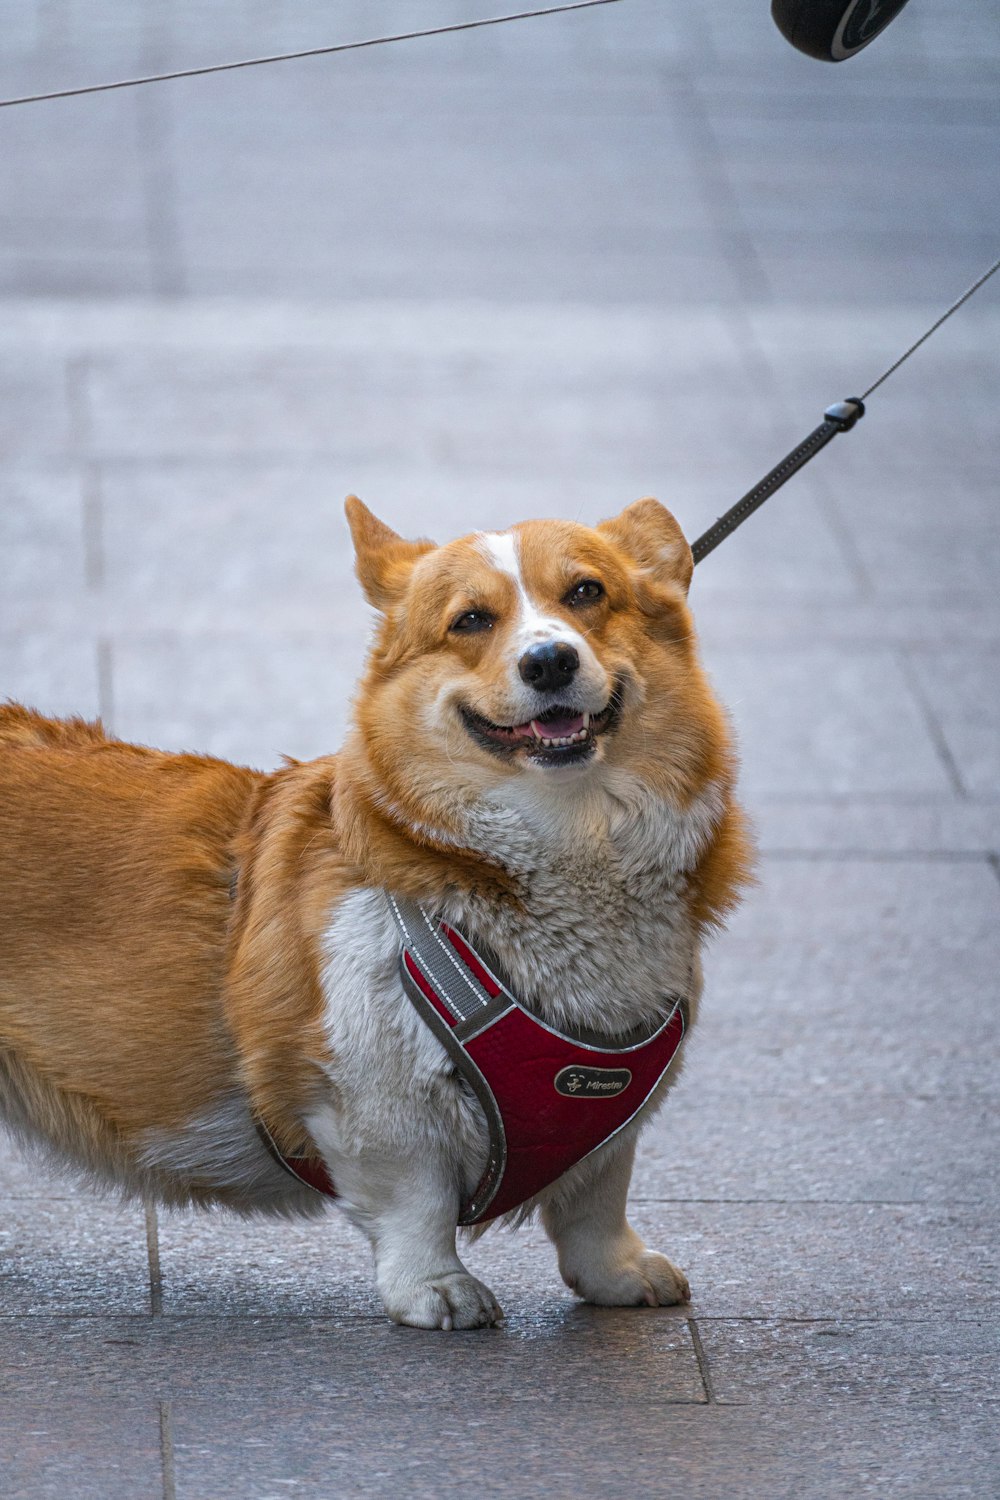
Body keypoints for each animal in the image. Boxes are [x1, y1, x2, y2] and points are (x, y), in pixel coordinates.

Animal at [0, 498, 749, 1332]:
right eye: (470, 620)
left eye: (587, 592)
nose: (549, 661)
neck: (568, 834)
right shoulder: (371, 1091)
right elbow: (416, 1200)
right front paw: (438, 1289)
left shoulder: (612, 1116)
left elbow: (596, 1197)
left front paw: (618, 1274)